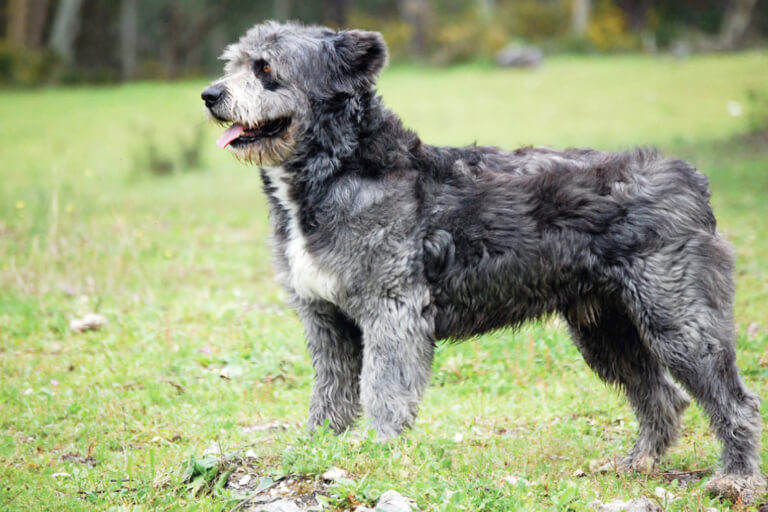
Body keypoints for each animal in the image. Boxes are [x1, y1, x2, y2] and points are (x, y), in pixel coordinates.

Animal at [201, 21, 764, 504]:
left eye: (266, 69)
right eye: (234, 63)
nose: (210, 95)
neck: (345, 170)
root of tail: (690, 179)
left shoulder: (392, 312)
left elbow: (383, 390)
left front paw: (380, 455)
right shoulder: (327, 320)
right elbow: (331, 395)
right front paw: (317, 450)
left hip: (678, 319)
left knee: (734, 400)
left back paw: (735, 479)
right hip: (608, 326)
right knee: (661, 396)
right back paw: (639, 462)